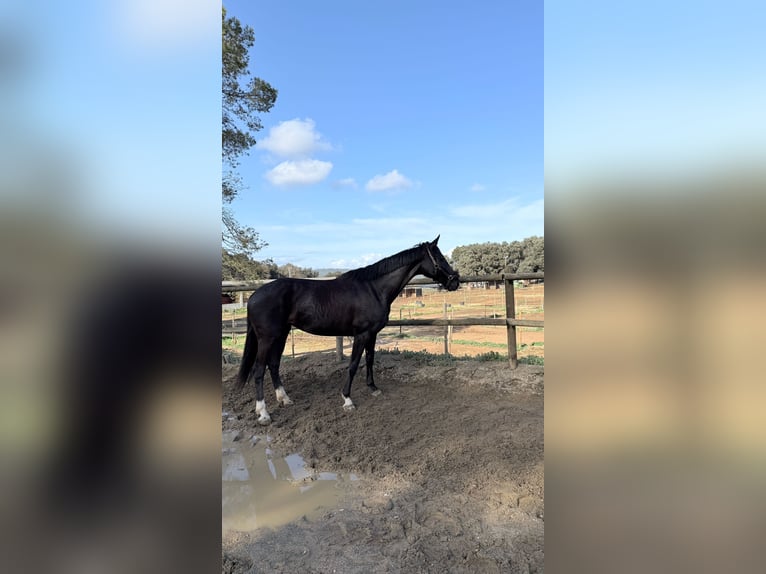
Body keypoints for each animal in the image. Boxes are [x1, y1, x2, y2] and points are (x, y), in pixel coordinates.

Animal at [235, 236, 460, 424]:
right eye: (440, 257)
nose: (455, 281)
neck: (374, 289)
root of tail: (253, 296)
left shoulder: (372, 334)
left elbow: (369, 360)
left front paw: (373, 388)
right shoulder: (361, 335)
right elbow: (352, 365)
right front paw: (347, 400)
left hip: (281, 335)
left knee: (273, 365)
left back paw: (285, 399)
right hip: (267, 338)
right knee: (258, 370)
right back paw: (263, 413)